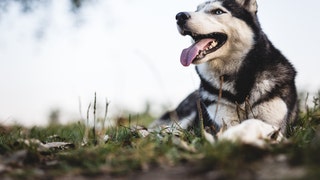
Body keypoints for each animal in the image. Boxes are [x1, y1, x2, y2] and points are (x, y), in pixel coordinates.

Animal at [149, 0, 298, 136]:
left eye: (218, 12)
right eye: (197, 10)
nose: (180, 16)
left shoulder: (275, 123)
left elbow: (254, 122)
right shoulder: (223, 120)